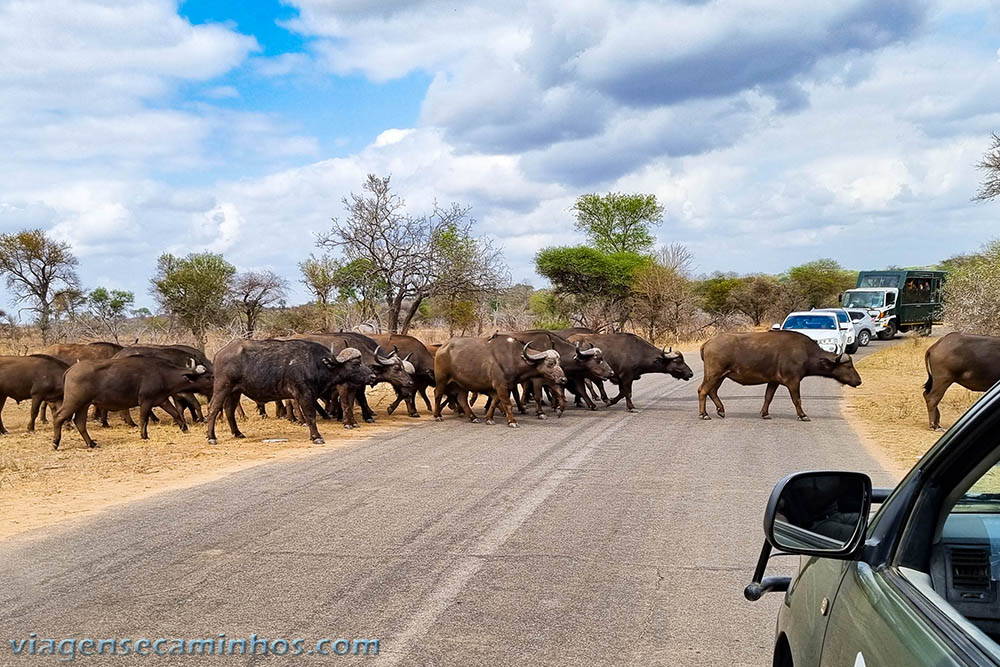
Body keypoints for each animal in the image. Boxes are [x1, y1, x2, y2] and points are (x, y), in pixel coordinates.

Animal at [53, 354, 213, 448]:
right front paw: (144, 435)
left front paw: (184, 428)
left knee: (80, 422)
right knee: (58, 416)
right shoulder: (146, 401)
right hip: (74, 401)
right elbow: (144, 419)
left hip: (84, 404)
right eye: (208, 377)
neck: (162, 373)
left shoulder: (162, 400)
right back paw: (55, 442)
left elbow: (176, 413)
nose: (215, 378)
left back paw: (91, 443)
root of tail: (70, 370)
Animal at [205, 342, 374, 446]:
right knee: (213, 409)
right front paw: (316, 437)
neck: (316, 364)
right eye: (356, 363)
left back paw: (237, 433)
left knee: (229, 410)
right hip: (222, 388)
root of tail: (218, 354)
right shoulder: (305, 395)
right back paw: (212, 437)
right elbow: (311, 416)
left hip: (235, 391)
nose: (372, 376)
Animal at [434, 334, 568, 428]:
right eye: (550, 363)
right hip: (442, 379)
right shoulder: (501, 386)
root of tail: (442, 347)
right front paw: (512, 421)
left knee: (462, 399)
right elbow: (507, 404)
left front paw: (489, 419)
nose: (563, 379)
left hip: (463, 384)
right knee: (438, 394)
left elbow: (494, 402)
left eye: (559, 362)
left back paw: (473, 417)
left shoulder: (503, 387)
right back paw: (437, 416)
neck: (513, 358)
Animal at [700, 330, 864, 422]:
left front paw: (765, 414)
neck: (806, 353)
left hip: (720, 376)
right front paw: (803, 415)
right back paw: (704, 414)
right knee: (703, 390)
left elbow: (768, 397)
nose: (859, 381)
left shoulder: (773, 381)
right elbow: (797, 399)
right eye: (848, 366)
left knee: (712, 391)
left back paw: (721, 410)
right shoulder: (793, 381)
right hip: (714, 374)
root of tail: (707, 343)